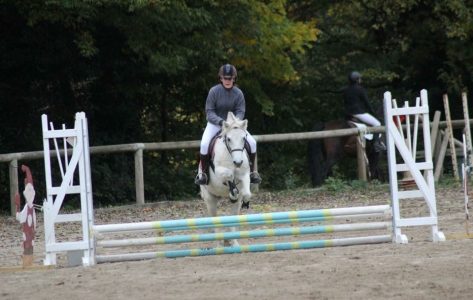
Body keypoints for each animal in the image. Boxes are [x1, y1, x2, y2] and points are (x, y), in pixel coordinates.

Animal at [199, 112, 251, 246]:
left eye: (244, 138)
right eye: (229, 139)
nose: (238, 162)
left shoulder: (245, 174)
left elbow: (247, 192)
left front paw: (244, 199)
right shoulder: (219, 171)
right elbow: (229, 175)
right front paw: (233, 189)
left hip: (233, 206)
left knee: (233, 215)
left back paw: (233, 242)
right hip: (210, 199)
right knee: (215, 219)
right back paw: (219, 243)